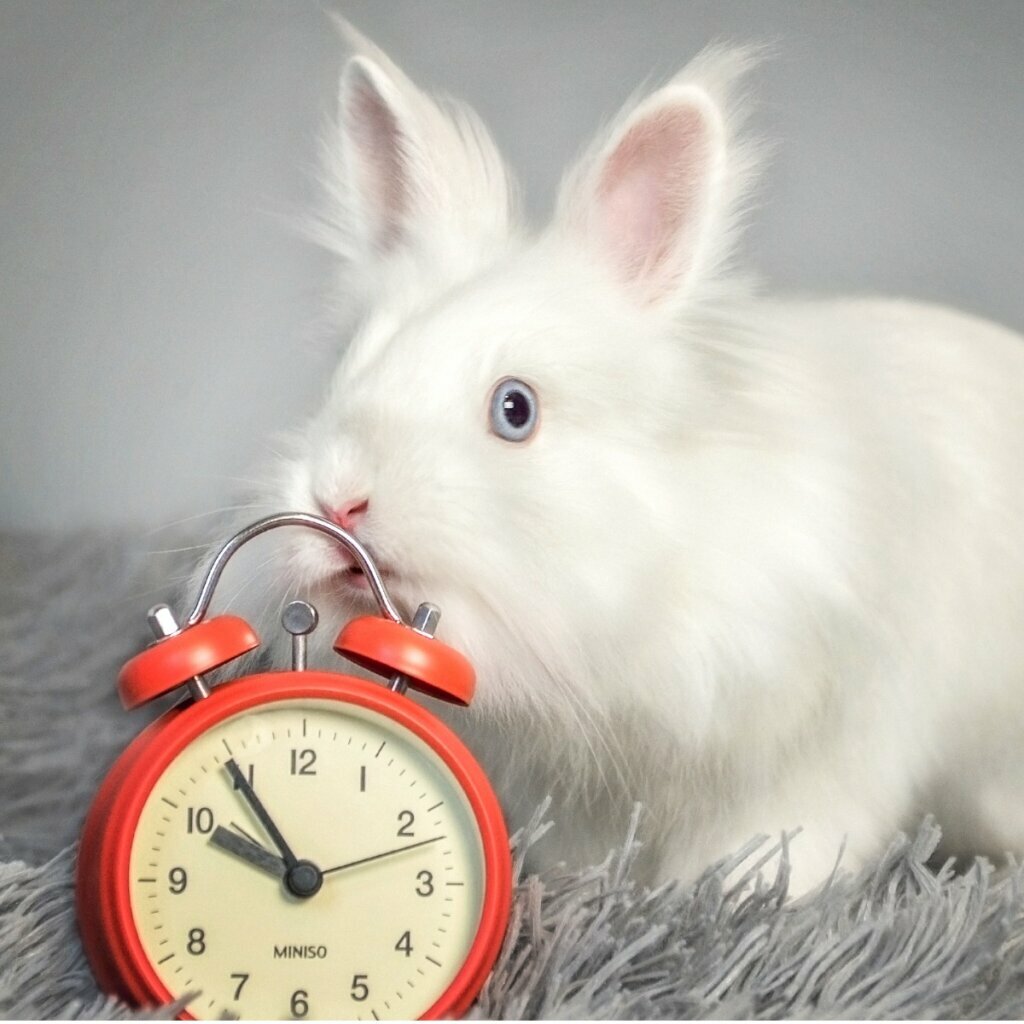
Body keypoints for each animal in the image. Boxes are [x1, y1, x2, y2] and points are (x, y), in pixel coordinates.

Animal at [201, 24, 1024, 897]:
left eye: (515, 410)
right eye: (348, 369)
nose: (339, 501)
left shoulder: (821, 754)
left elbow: (771, 852)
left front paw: (729, 899)